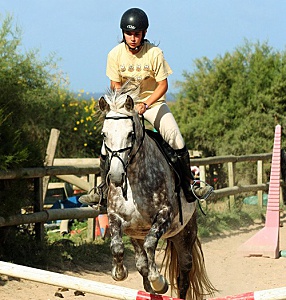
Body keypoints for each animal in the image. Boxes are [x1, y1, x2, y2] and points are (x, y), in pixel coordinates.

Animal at [97, 84, 216, 300]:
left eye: (130, 134)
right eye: (104, 134)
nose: (116, 177)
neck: (134, 180)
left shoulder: (164, 215)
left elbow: (151, 243)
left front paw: (159, 281)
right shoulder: (115, 216)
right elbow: (117, 246)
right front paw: (119, 272)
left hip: (184, 233)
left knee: (183, 273)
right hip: (135, 234)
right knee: (141, 262)